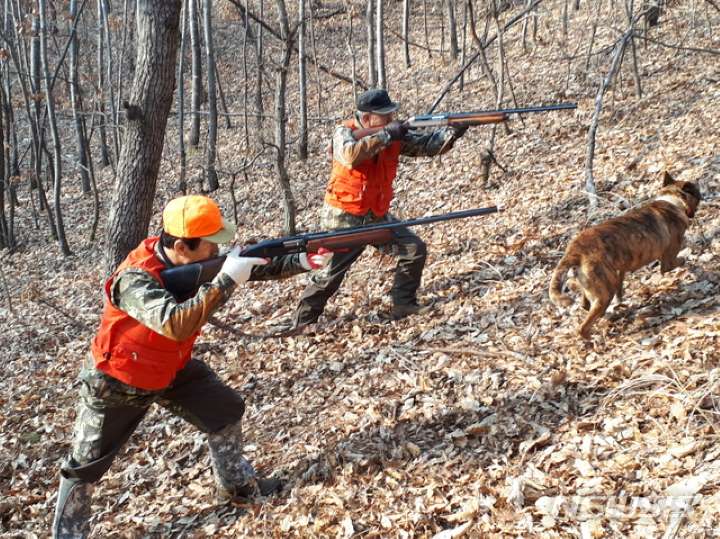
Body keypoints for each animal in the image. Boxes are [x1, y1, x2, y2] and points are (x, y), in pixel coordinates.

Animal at [548, 173, 700, 338]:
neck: (673, 201)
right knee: (583, 327)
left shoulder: (620, 269)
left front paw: (620, 300)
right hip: (604, 295)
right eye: (697, 194)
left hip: (596, 284)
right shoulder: (668, 261)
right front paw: (689, 263)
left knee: (582, 298)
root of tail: (575, 248)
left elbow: (620, 284)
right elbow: (678, 261)